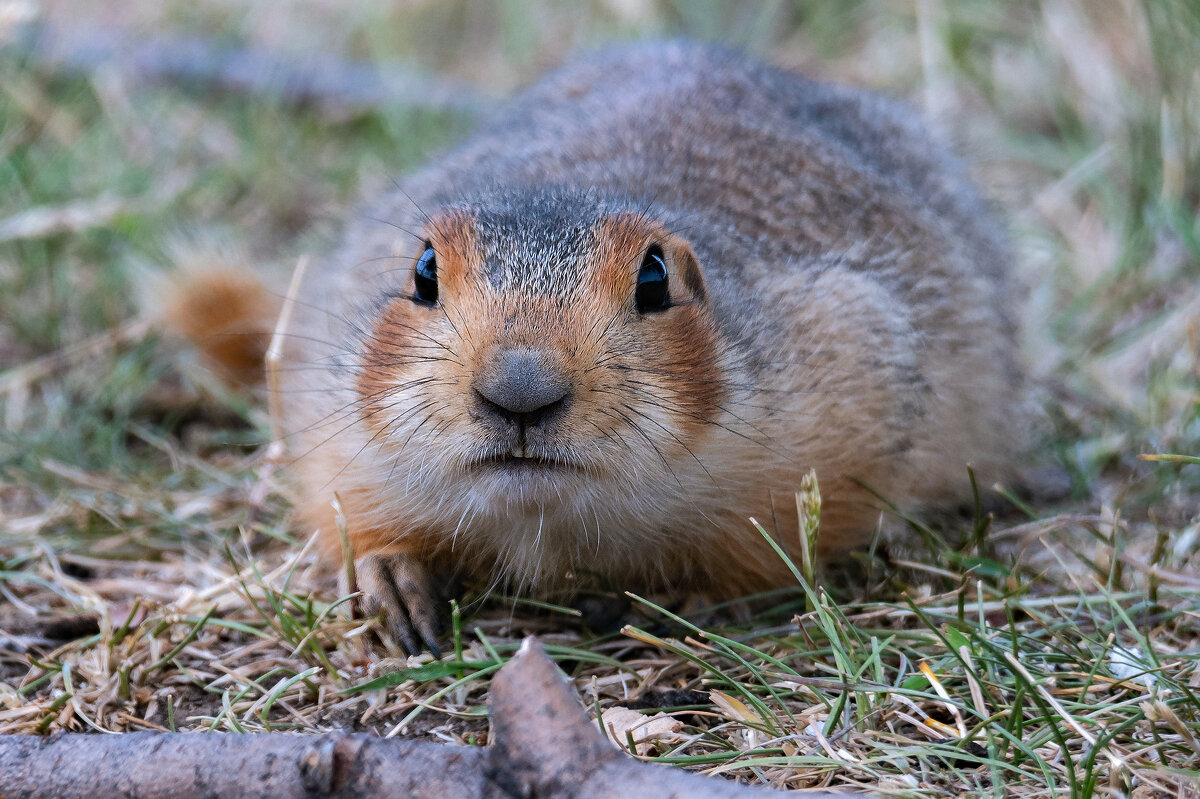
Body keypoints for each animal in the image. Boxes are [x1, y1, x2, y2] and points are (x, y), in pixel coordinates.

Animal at [175, 40, 1022, 652]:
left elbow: (793, 538)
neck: (543, 524)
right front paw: (392, 579)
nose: (519, 390)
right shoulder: (330, 403)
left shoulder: (849, 375)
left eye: (654, 277)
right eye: (422, 272)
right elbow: (340, 502)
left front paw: (677, 598)